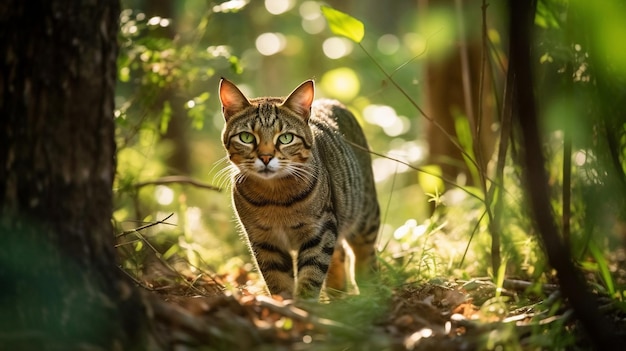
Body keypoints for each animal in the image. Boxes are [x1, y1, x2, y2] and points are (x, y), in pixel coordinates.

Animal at [217, 78, 378, 302]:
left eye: (285, 138)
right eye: (246, 137)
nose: (265, 157)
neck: (275, 198)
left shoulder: (320, 231)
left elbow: (311, 275)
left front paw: (304, 306)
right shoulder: (264, 241)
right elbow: (277, 280)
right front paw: (284, 305)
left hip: (364, 216)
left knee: (366, 254)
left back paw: (370, 289)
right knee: (340, 255)